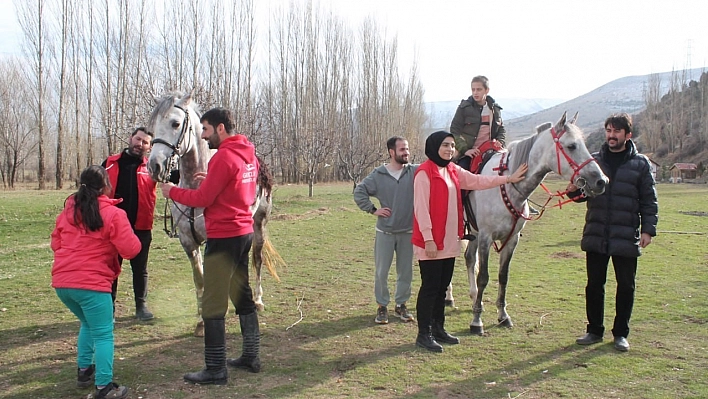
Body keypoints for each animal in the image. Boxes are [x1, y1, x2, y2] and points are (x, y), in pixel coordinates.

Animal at [460, 111, 608, 336]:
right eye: (572, 146)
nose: (601, 181)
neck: (507, 186)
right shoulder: (486, 237)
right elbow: (484, 276)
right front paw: (477, 321)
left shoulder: (511, 240)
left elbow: (503, 276)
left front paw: (502, 315)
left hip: (474, 233)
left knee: (469, 258)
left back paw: (474, 297)